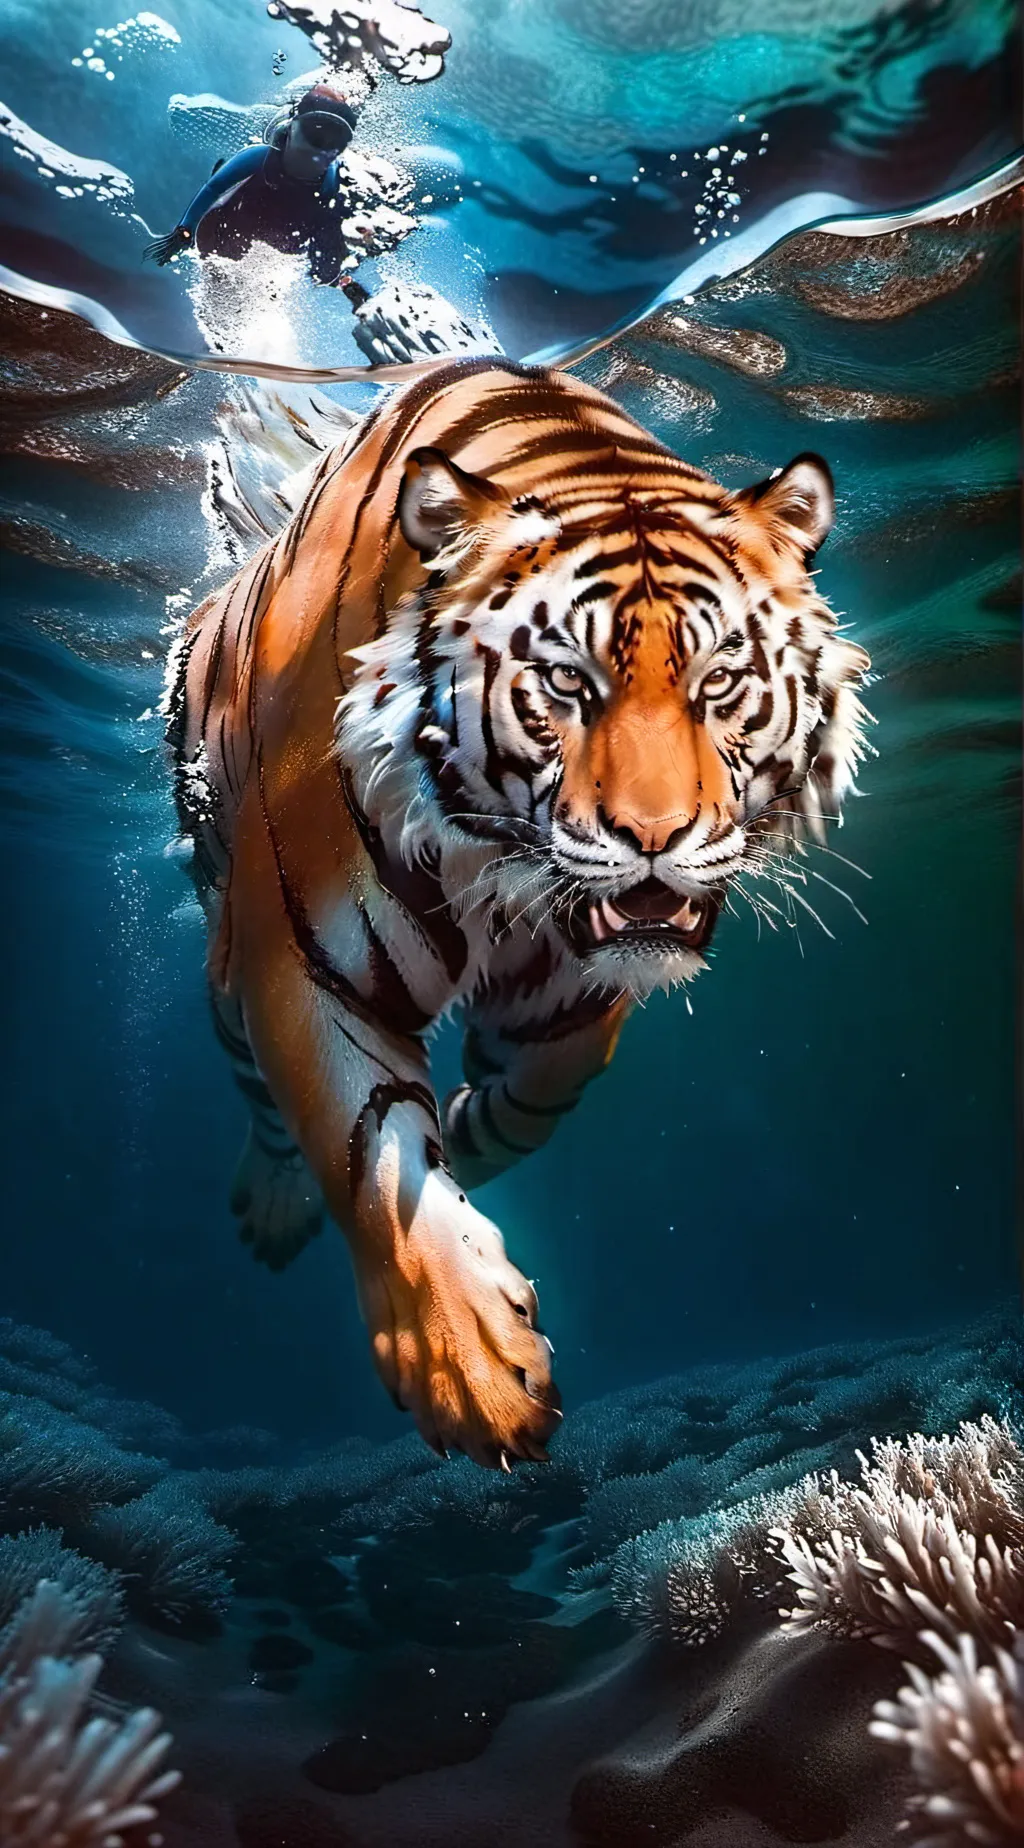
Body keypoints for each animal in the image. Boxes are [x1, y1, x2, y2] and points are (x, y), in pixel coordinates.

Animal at [166, 358, 870, 1471]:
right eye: (564, 682)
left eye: (719, 681)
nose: (655, 836)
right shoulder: (303, 959)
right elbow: (362, 1147)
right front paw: (473, 1375)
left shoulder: (579, 982)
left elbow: (543, 1086)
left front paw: (470, 1132)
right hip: (225, 930)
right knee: (258, 1095)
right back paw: (271, 1211)